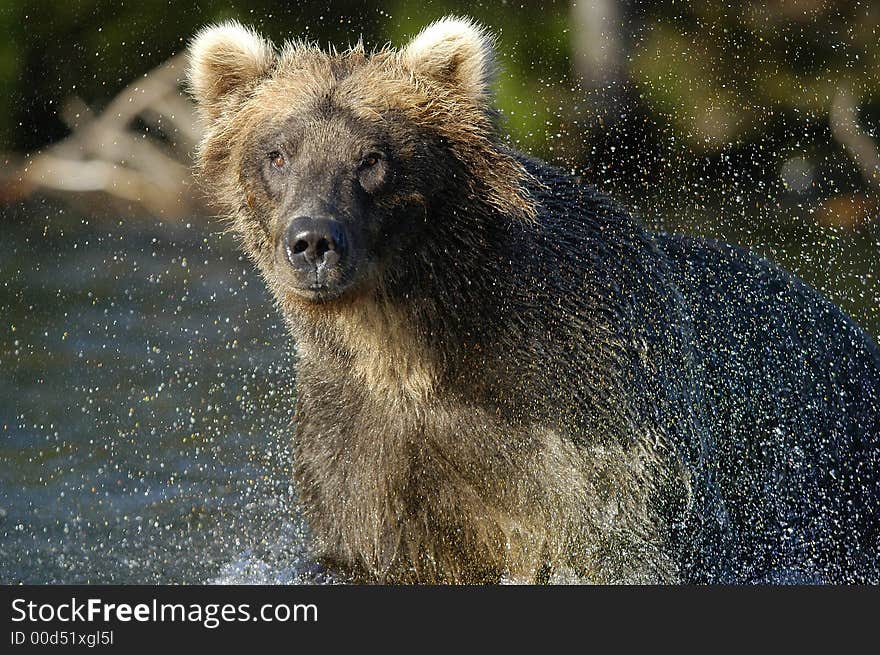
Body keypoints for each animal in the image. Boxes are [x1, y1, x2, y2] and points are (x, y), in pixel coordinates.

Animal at [189, 15, 880, 580]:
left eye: (372, 159)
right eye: (277, 153)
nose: (313, 241)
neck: (412, 343)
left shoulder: (587, 415)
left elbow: (614, 540)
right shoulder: (359, 437)